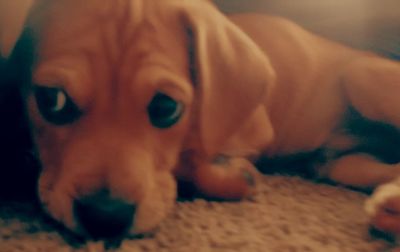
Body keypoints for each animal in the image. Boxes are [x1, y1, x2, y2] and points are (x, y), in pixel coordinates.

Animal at [4, 0, 400, 238]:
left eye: (166, 108)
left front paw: (232, 173)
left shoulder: (255, 128)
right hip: (341, 164)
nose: (105, 218)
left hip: (362, 77)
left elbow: (191, 156)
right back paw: (389, 207)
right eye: (52, 101)